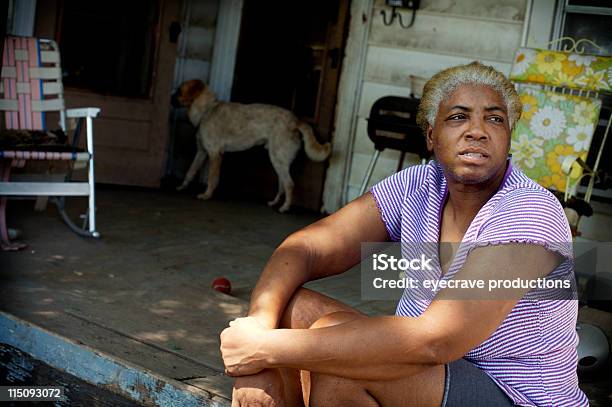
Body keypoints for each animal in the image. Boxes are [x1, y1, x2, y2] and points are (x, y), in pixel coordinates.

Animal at [175, 80, 332, 214]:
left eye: (178, 91)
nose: (171, 98)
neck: (207, 109)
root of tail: (296, 121)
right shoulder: (201, 152)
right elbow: (190, 171)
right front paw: (182, 187)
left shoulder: (215, 154)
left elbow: (212, 179)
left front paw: (207, 195)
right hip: (278, 161)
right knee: (282, 185)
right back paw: (274, 203)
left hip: (278, 160)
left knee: (289, 184)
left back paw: (285, 208)